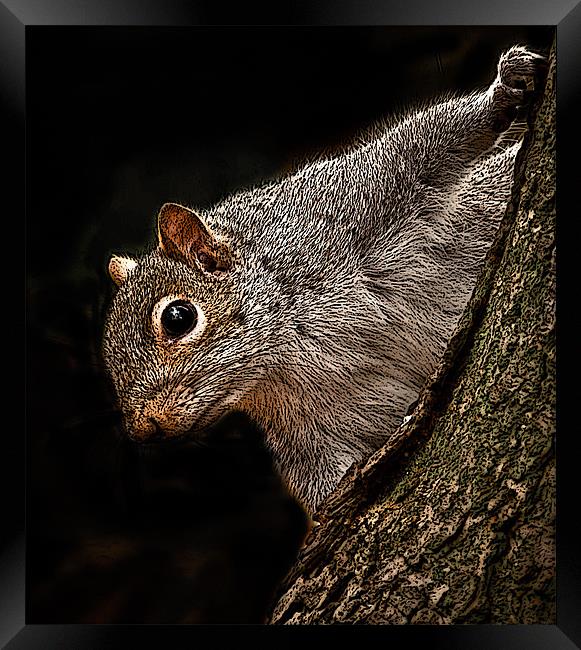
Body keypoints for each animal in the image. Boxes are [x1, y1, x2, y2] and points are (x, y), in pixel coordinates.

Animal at [103, 44, 544, 512]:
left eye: (178, 318)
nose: (144, 429)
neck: (285, 354)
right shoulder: (311, 426)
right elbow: (319, 476)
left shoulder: (354, 199)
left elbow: (427, 143)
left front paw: (506, 88)